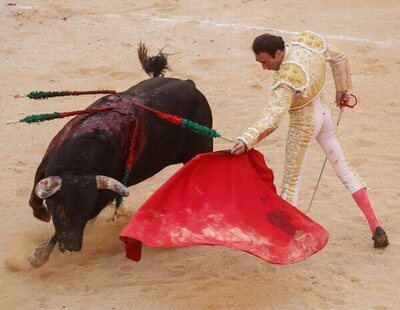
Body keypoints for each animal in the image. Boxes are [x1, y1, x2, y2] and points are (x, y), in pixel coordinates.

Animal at [28, 77, 214, 266]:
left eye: (87, 208)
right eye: (59, 209)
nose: (72, 247)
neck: (79, 166)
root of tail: (189, 84)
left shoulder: (102, 197)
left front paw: (39, 256)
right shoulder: (44, 167)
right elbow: (34, 198)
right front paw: (42, 216)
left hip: (201, 149)